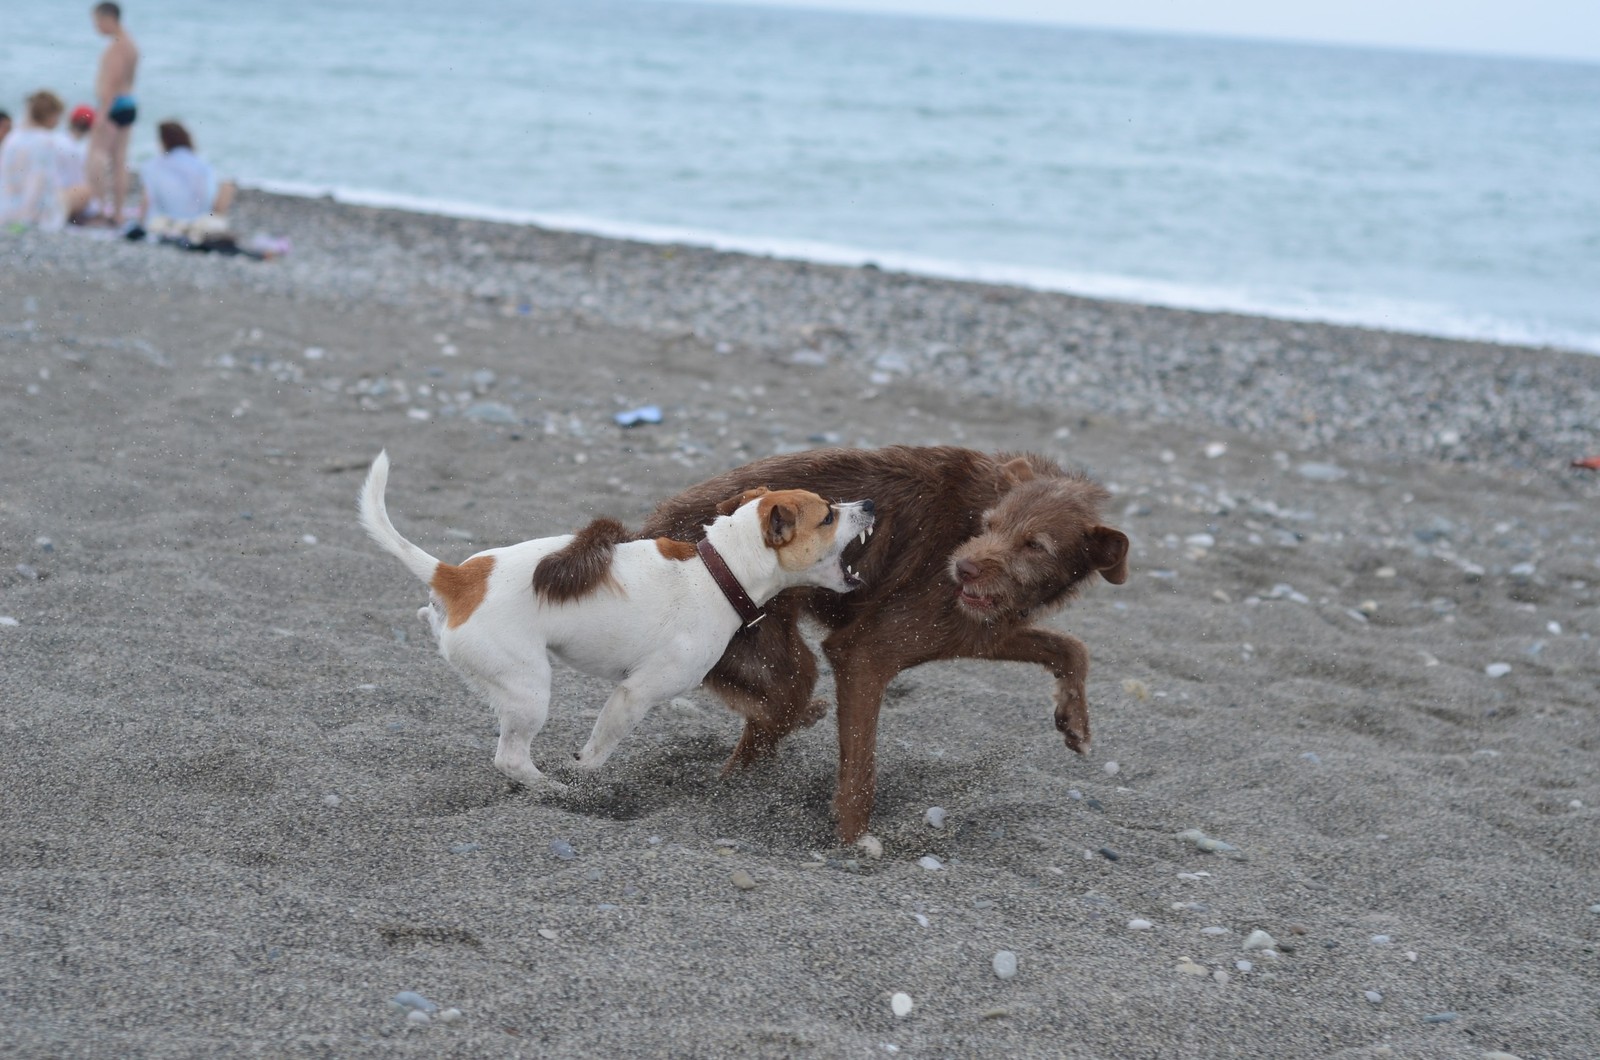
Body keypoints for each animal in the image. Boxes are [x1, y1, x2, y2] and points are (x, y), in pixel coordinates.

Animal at [360, 451, 876, 794]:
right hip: (528, 690)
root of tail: (457, 578)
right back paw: (553, 789)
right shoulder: (635, 694)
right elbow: (599, 749)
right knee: (511, 758)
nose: (869, 505)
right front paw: (581, 773)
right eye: (827, 516)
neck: (719, 569)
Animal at [636, 445, 1126, 845]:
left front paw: (1075, 720)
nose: (962, 569)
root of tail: (645, 535)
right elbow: (860, 776)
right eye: (990, 525)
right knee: (774, 718)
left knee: (761, 733)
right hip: (779, 668)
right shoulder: (864, 655)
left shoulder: (976, 631)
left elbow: (1072, 648)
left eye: (1035, 545)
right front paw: (853, 846)